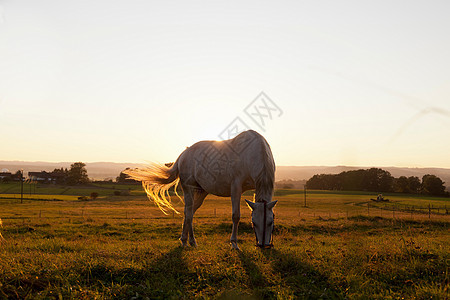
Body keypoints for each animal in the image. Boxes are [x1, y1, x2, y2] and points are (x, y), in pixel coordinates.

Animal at [125, 130, 276, 250]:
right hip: (188, 189)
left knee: (190, 212)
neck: (252, 154)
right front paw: (234, 244)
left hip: (202, 192)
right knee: (188, 213)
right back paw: (189, 241)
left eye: (271, 221)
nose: (263, 245)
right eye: (253, 222)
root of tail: (184, 154)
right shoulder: (236, 189)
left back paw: (186, 240)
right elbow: (236, 216)